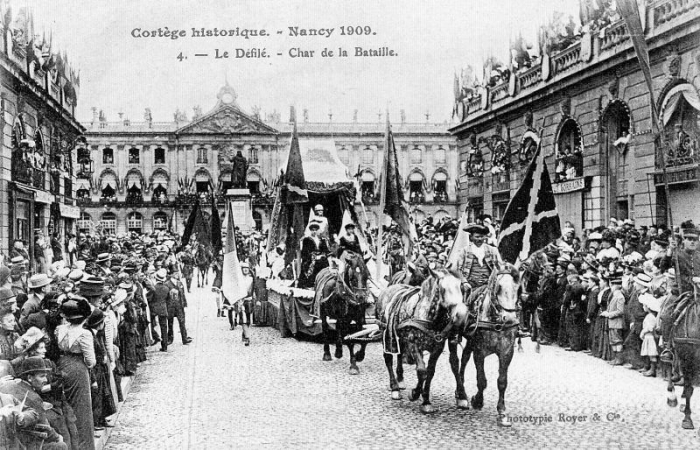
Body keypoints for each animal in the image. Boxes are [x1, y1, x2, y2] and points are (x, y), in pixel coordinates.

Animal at [374, 268, 468, 414]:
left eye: (461, 288)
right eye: (443, 289)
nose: (461, 315)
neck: (429, 318)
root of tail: (388, 288)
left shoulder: (437, 347)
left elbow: (430, 371)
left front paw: (426, 400)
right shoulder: (413, 343)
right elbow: (421, 371)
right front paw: (415, 394)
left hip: (400, 337)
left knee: (400, 355)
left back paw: (400, 380)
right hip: (385, 333)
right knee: (388, 358)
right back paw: (395, 387)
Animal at [452, 262, 524, 428]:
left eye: (518, 289)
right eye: (498, 287)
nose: (510, 319)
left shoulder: (506, 352)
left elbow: (502, 381)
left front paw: (502, 413)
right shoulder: (480, 351)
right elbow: (482, 380)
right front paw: (477, 401)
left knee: (464, 358)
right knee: (455, 361)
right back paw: (461, 394)